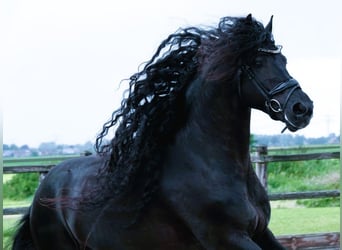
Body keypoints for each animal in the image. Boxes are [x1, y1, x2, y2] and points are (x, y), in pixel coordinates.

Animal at [12, 14, 312, 249]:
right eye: (257, 63)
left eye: (284, 60)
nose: (302, 108)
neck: (209, 163)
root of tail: (42, 192)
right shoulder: (228, 238)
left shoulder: (260, 232)